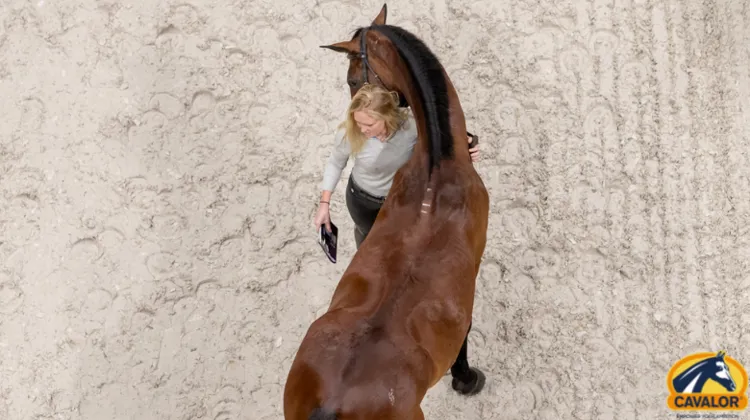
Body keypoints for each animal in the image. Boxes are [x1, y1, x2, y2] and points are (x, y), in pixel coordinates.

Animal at [283, 5, 490, 419]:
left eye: (351, 79)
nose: (353, 114)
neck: (436, 169)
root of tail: (332, 403)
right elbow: (466, 331)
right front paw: (466, 378)